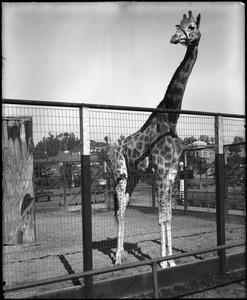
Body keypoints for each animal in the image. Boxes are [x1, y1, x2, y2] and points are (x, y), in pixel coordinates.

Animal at [106, 10, 201, 268]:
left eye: (191, 26)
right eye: (178, 25)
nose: (174, 37)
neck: (171, 120)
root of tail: (107, 150)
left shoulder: (171, 172)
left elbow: (169, 216)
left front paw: (172, 261)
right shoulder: (159, 169)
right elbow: (160, 217)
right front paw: (163, 262)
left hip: (134, 176)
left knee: (122, 209)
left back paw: (122, 254)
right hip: (119, 174)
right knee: (119, 211)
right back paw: (117, 259)